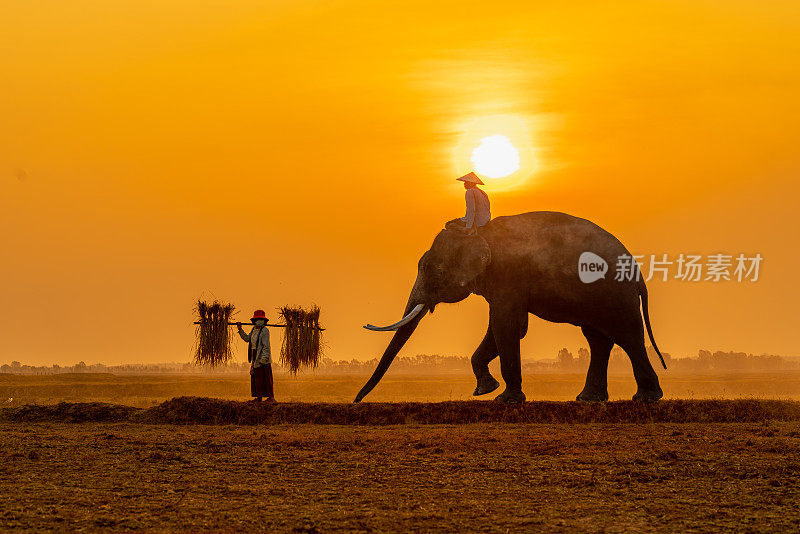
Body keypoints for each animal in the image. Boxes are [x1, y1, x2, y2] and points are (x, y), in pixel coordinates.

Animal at [354, 211, 664, 404]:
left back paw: (646, 399)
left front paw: (504, 399)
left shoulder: (509, 276)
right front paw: (484, 390)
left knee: (627, 336)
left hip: (615, 294)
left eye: (436, 270)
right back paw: (588, 399)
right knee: (598, 338)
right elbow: (502, 328)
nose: (356, 400)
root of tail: (637, 273)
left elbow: (507, 326)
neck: (480, 232)